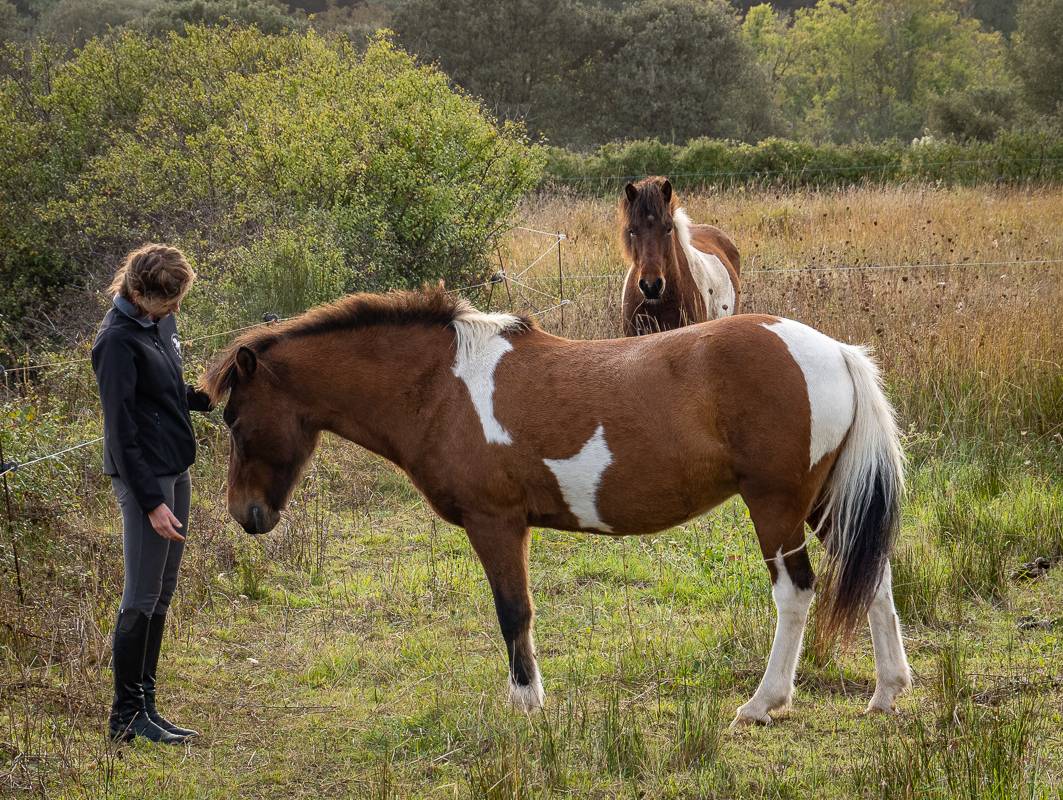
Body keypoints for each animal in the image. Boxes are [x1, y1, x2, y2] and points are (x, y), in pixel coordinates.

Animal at [202, 286, 912, 725]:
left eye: (234, 418)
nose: (246, 514)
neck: (440, 387)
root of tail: (835, 351)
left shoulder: (495, 523)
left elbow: (513, 611)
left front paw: (526, 702)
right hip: (823, 503)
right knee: (874, 577)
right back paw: (887, 692)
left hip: (776, 506)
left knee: (795, 592)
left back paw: (764, 702)